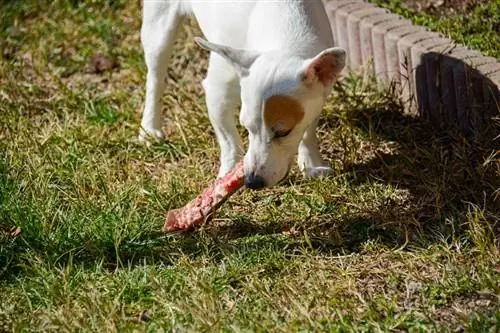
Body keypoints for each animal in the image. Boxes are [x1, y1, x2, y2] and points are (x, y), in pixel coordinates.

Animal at [139, 0, 346, 188]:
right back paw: (150, 127)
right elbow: (228, 140)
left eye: (283, 132)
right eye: (246, 127)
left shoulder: (319, 96)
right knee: (155, 76)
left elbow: (308, 130)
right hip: (159, 28)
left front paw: (312, 165)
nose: (252, 181)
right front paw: (227, 174)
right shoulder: (217, 92)